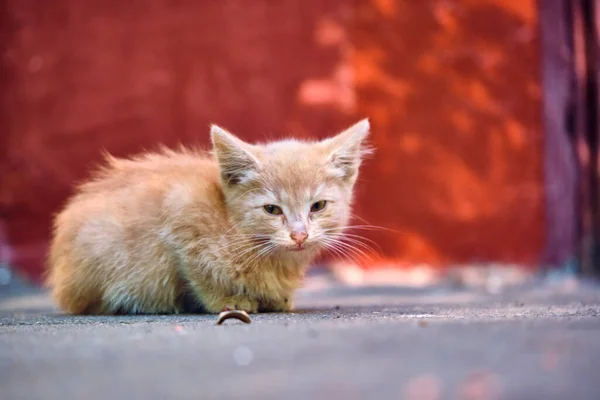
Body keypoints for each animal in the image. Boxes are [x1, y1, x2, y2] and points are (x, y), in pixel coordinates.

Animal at [45, 119, 370, 316]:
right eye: (272, 210)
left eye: (318, 206)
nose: (299, 235)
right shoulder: (181, 209)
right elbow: (197, 273)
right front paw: (226, 300)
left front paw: (276, 298)